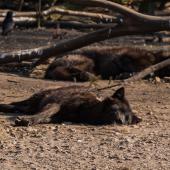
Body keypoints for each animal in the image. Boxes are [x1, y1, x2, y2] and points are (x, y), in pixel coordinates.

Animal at [0, 85, 140, 125]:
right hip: (34, 101)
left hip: (29, 107)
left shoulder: (58, 117)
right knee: (13, 104)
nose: (121, 121)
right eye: (120, 109)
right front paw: (27, 120)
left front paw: (30, 120)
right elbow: (43, 114)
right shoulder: (55, 104)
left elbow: (44, 118)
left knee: (17, 107)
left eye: (127, 118)